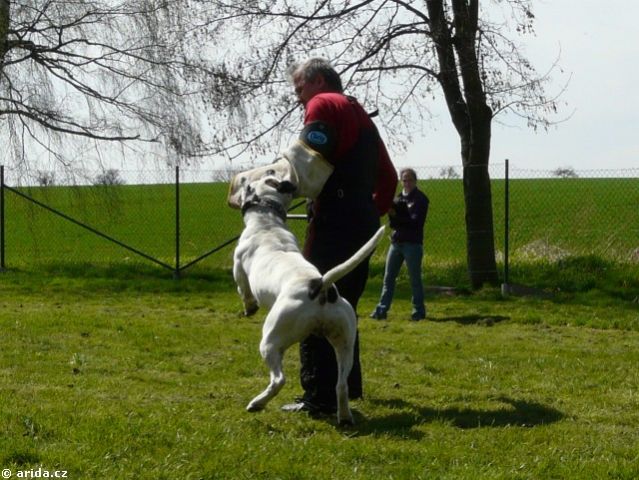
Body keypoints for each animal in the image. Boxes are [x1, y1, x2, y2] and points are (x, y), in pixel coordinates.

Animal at [232, 172, 385, 425]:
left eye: (251, 183)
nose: (243, 178)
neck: (267, 221)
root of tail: (321, 285)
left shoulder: (238, 268)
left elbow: (243, 291)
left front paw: (249, 308)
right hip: (345, 345)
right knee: (341, 385)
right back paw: (344, 417)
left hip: (271, 341)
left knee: (279, 380)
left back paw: (257, 403)